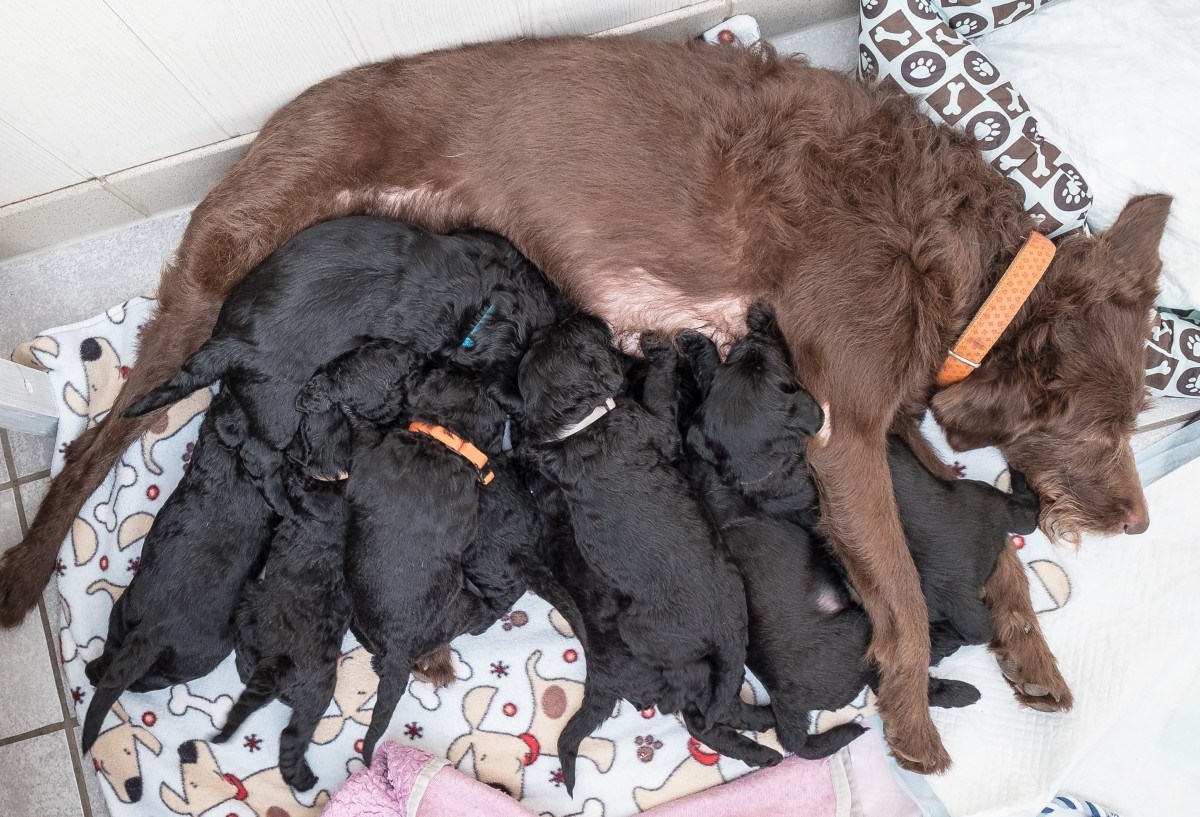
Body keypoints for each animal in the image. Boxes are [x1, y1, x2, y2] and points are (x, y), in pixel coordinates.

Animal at [513, 311, 777, 791]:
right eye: (582, 335)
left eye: (554, 334)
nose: (584, 315)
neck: (576, 426)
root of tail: (725, 624)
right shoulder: (654, 429)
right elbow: (659, 400)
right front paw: (658, 353)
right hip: (651, 639)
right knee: (709, 712)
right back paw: (764, 734)